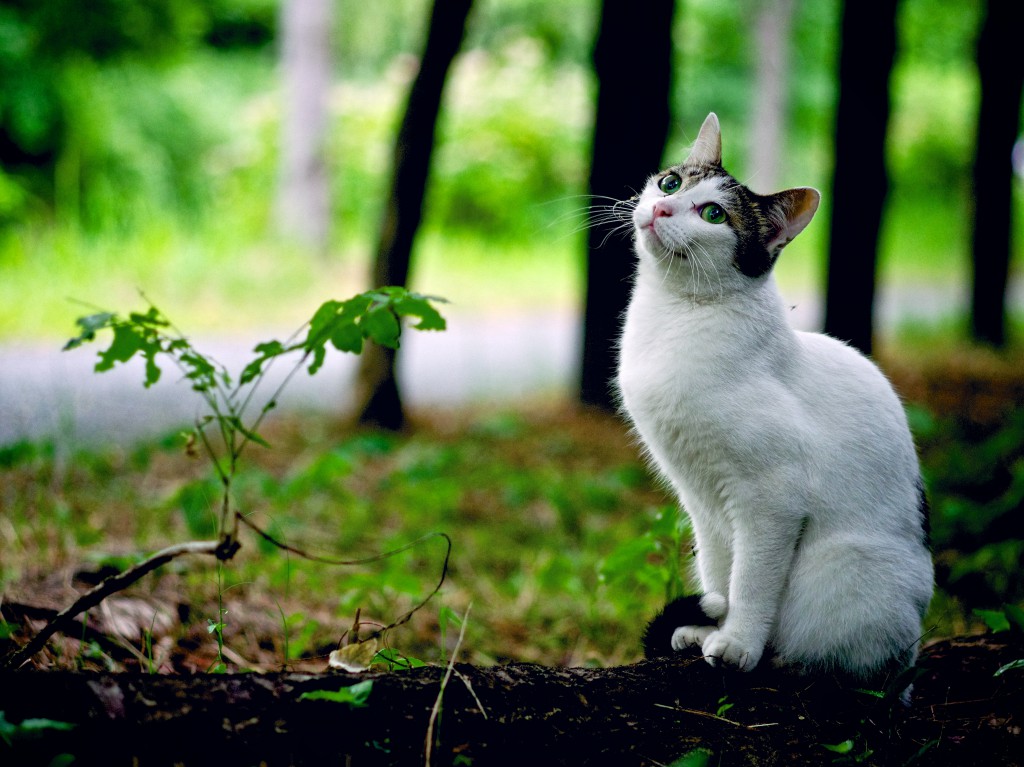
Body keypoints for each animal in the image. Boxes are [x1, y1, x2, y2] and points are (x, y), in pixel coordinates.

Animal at [614, 112, 937, 688]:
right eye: (671, 183)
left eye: (714, 214)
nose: (661, 208)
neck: (674, 315)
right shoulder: (702, 501)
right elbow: (720, 574)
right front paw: (707, 625)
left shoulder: (772, 498)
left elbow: (751, 582)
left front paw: (738, 644)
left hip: (845, 569)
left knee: (862, 664)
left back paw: (794, 658)